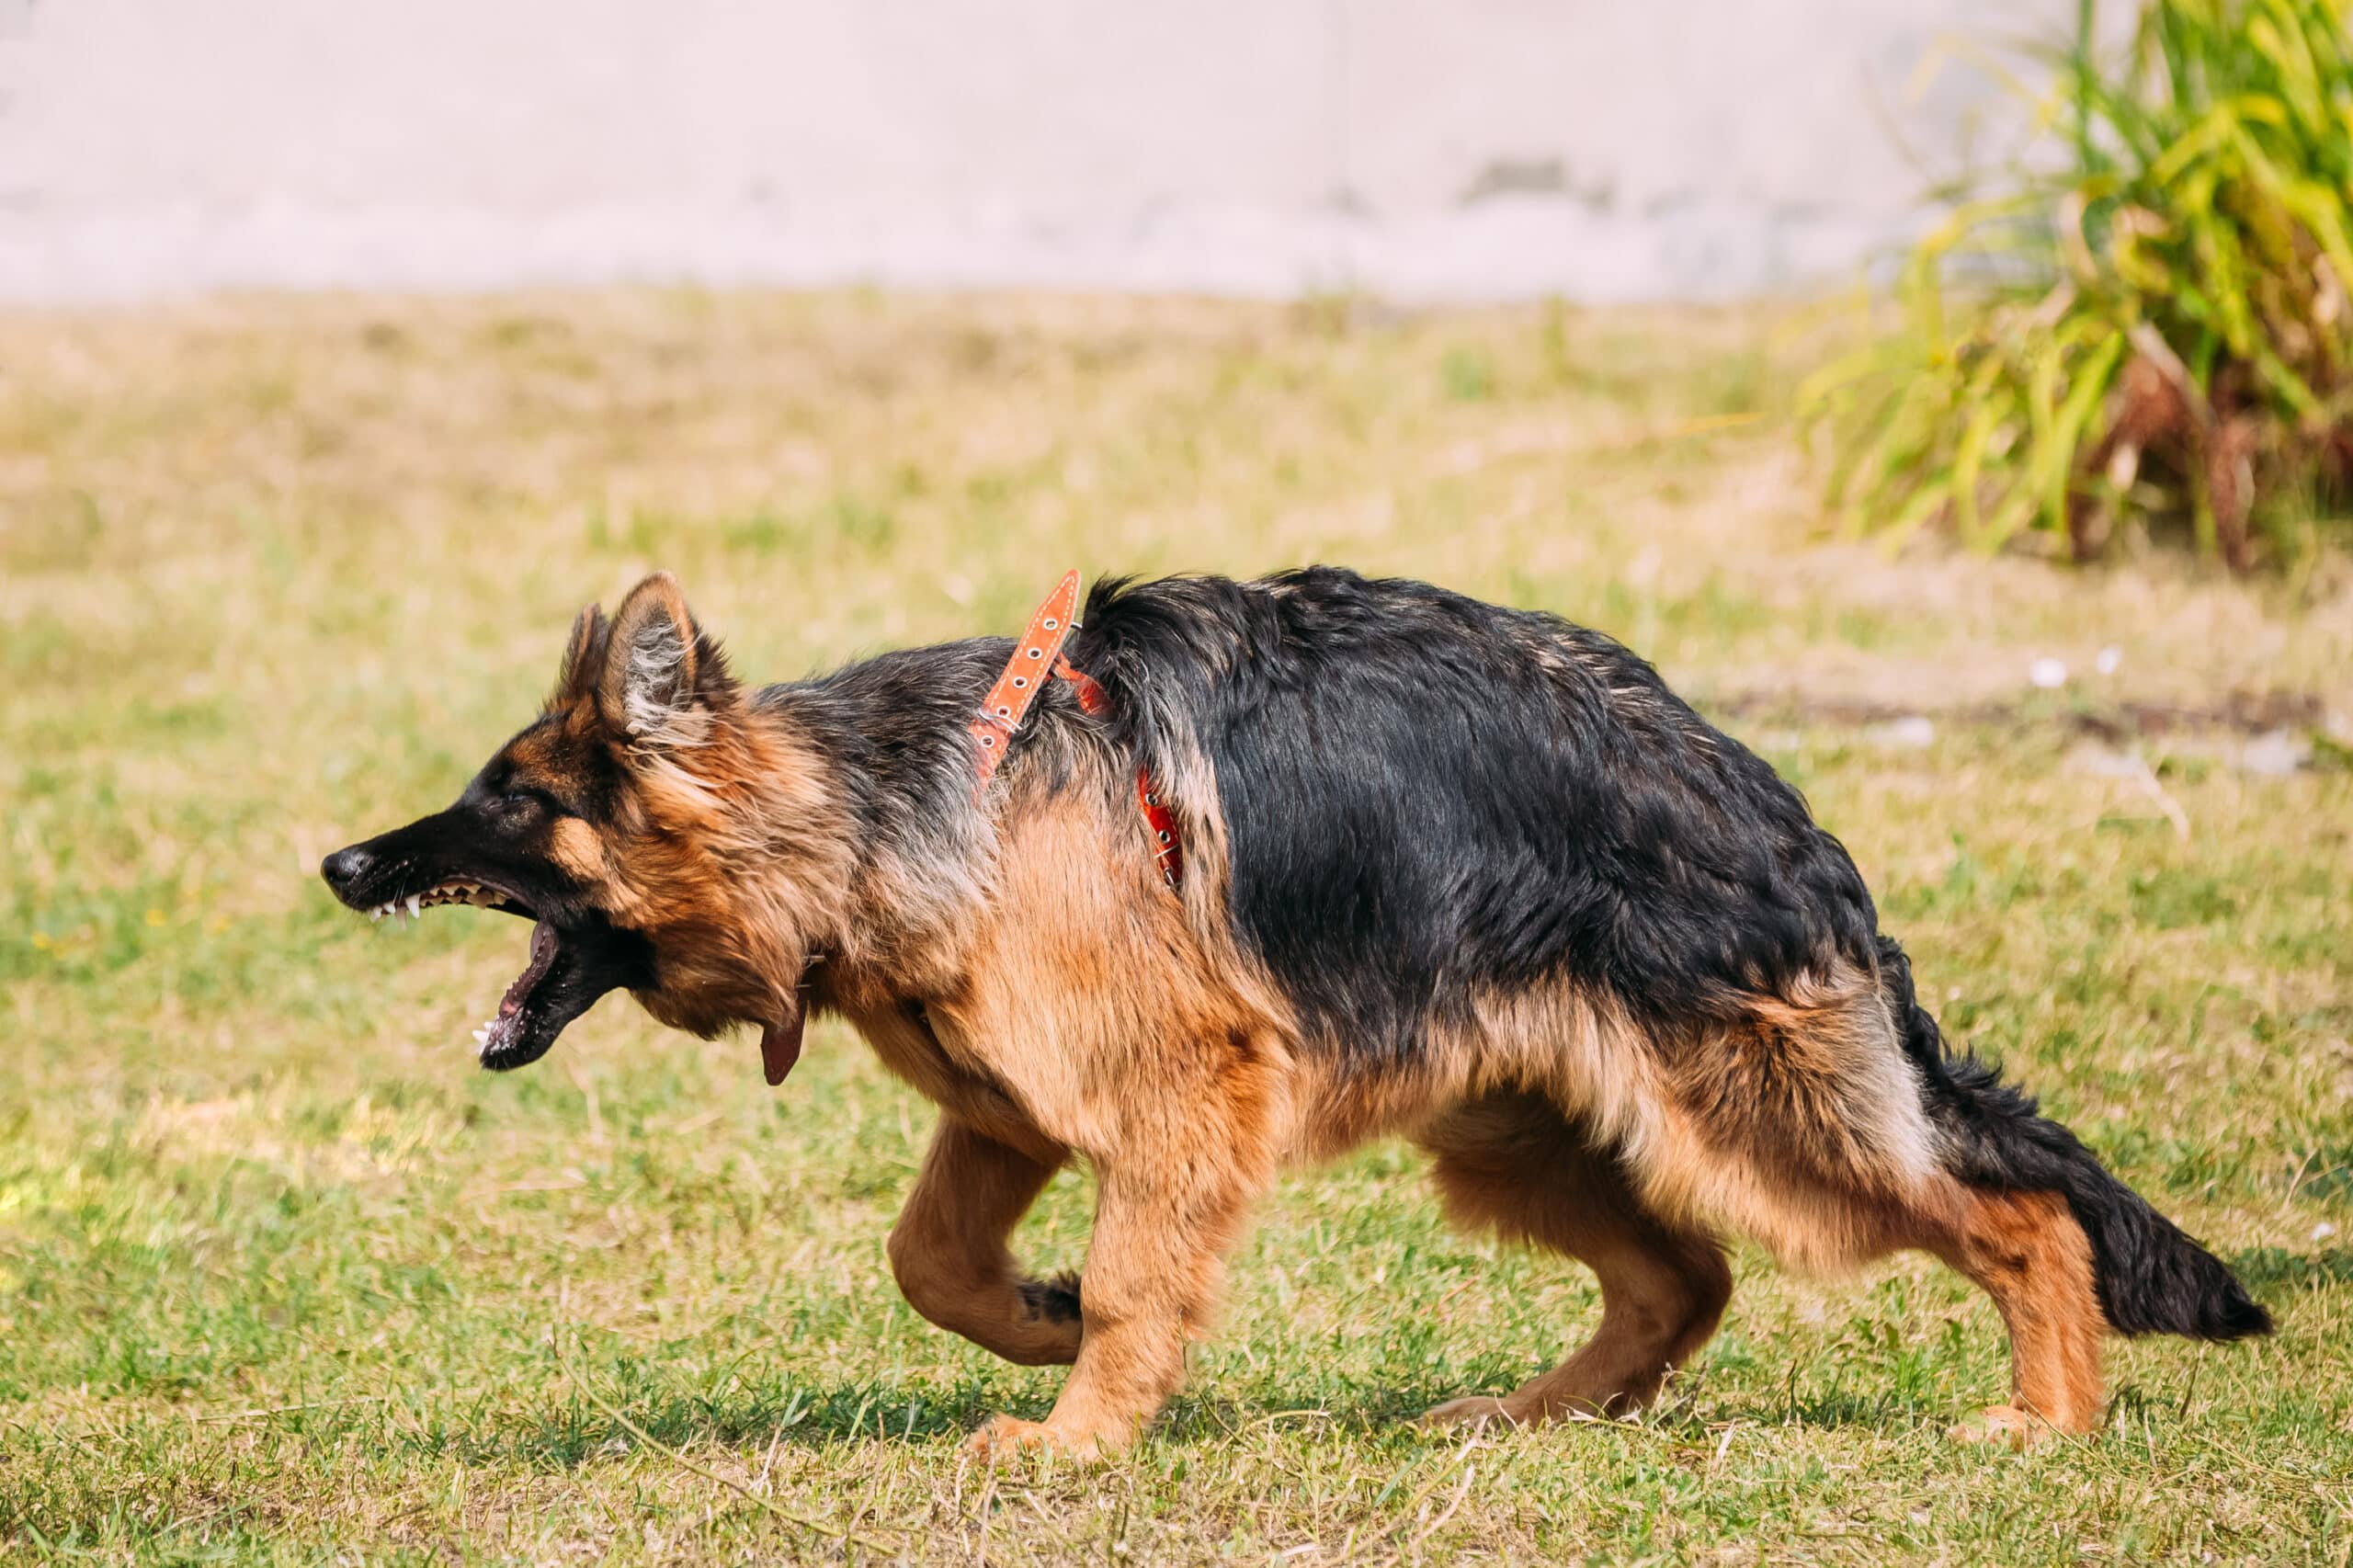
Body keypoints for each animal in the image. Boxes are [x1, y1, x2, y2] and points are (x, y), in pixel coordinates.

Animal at [322, 564, 2268, 1449]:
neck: (883, 812)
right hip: (1512, 1128)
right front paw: (1036, 1330)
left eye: (508, 799)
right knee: (1681, 1274)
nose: (340, 864)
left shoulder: (1172, 1094)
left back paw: (2047, 1416)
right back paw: (1541, 1415)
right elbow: (931, 1259)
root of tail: (1760, 798)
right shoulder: (1008, 1106)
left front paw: (1079, 1441)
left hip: (1751, 1112)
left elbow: (1128, 1275)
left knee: (2011, 1214)